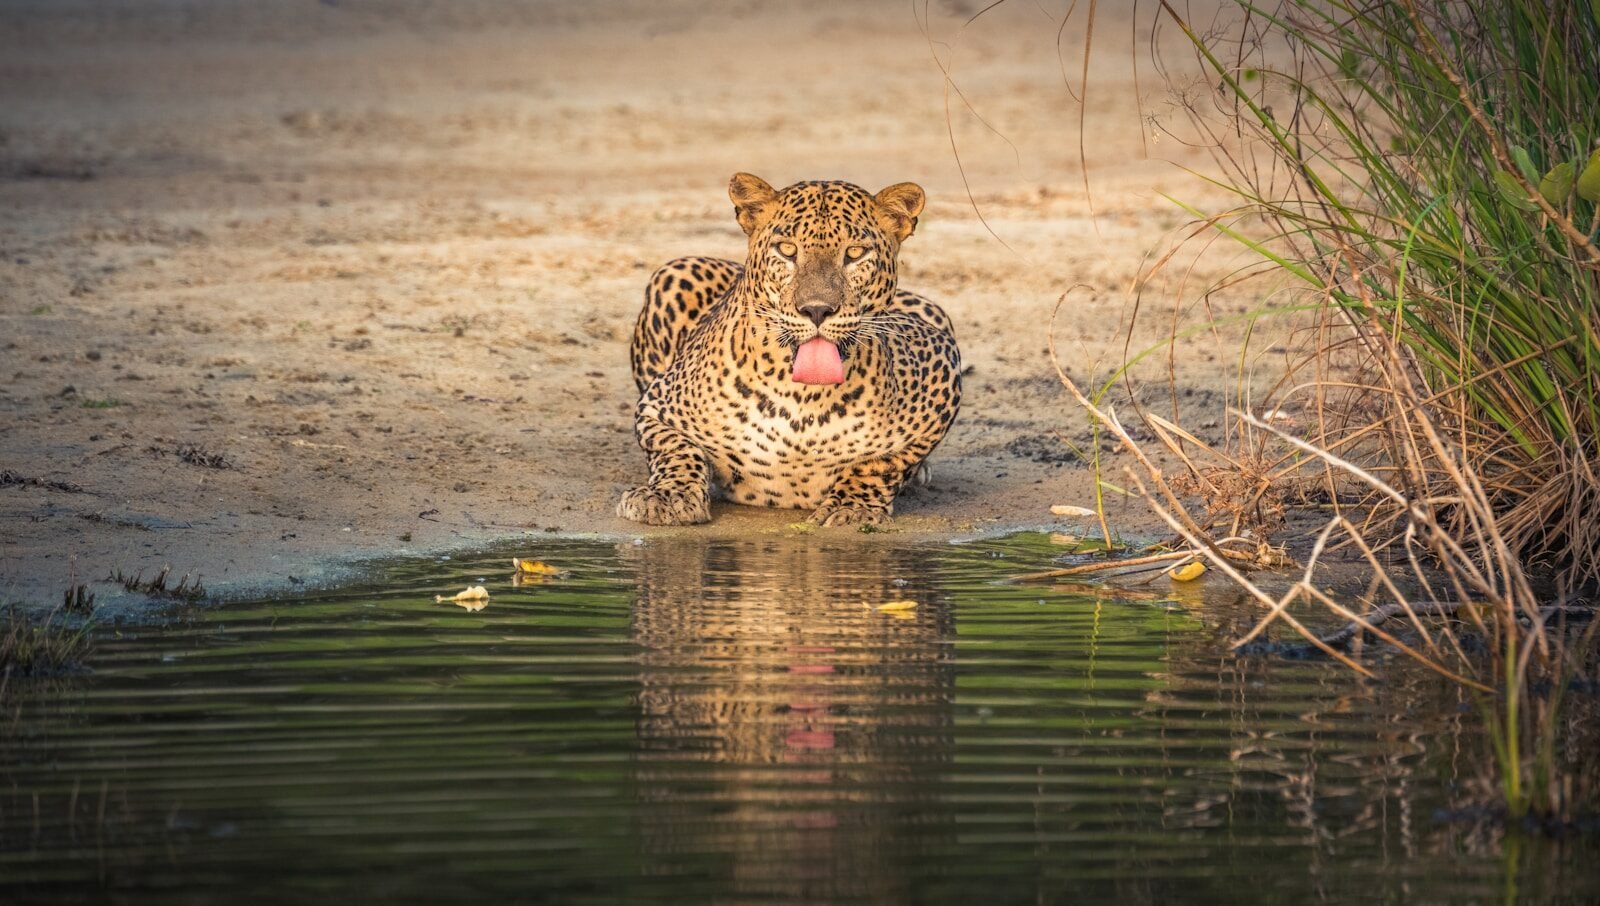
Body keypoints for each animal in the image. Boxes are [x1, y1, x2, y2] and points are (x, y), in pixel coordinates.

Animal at [617, 172, 961, 527]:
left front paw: (850, 507)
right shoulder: (658, 406)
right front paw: (667, 496)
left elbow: (882, 463)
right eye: (787, 250)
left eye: (854, 253)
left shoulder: (942, 364)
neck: (803, 399)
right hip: (676, 271)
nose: (817, 310)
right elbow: (677, 449)